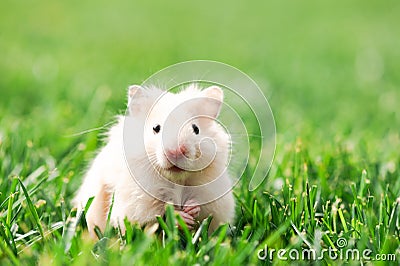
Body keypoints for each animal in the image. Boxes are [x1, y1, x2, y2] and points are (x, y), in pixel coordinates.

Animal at [73, 84, 234, 238]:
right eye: (156, 128)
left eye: (196, 129)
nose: (176, 151)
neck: (176, 179)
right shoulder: (137, 203)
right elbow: (158, 214)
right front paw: (181, 217)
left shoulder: (215, 200)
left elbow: (204, 210)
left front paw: (192, 208)